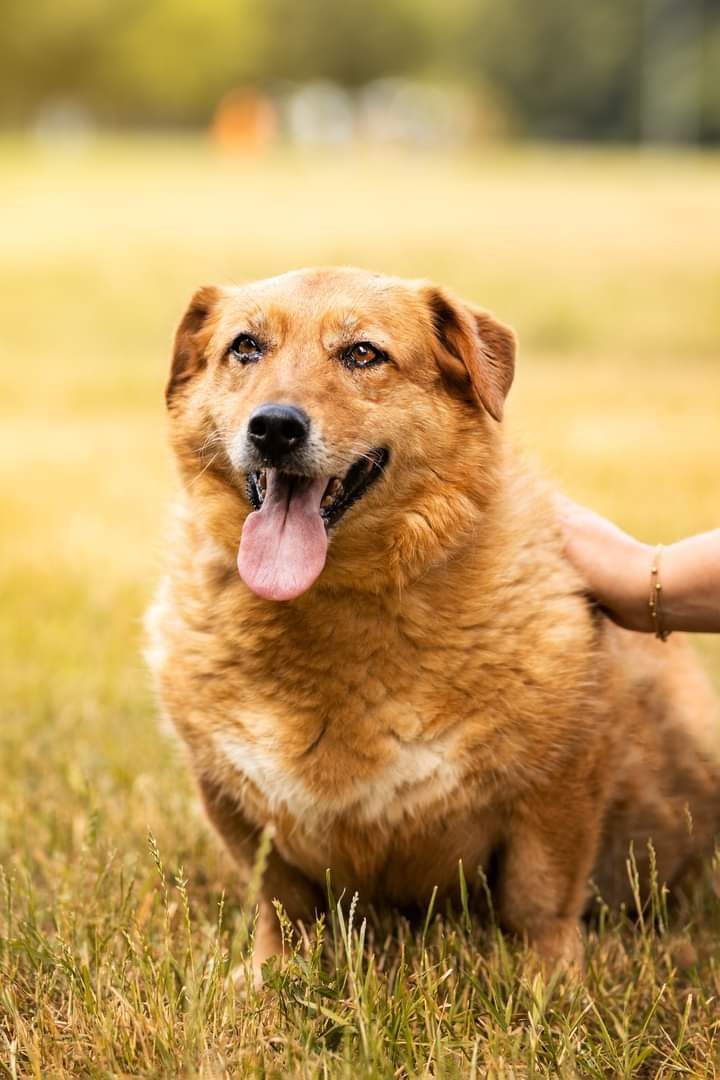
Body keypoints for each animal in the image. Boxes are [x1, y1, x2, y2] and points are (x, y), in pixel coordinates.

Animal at [146, 267, 720, 980]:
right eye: (245, 347)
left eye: (363, 353)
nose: (274, 427)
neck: (332, 605)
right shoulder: (233, 800)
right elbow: (283, 904)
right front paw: (268, 977)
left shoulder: (559, 786)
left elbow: (539, 902)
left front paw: (549, 985)